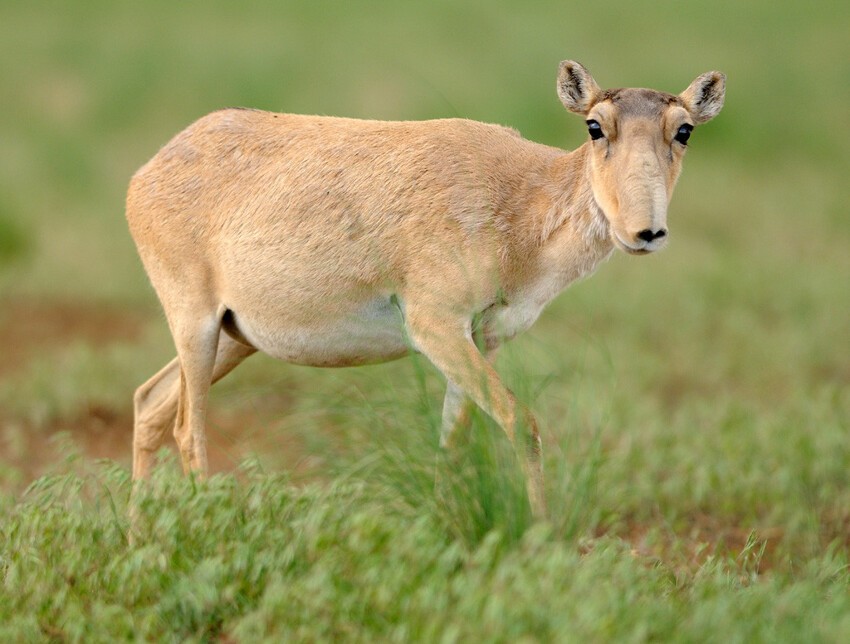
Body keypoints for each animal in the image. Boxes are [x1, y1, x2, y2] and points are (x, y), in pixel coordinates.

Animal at [126, 59, 724, 512]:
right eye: (595, 126)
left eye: (684, 129)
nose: (645, 232)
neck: (520, 201)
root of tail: (146, 173)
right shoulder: (435, 326)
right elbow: (522, 423)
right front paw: (542, 535)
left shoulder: (481, 339)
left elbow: (454, 440)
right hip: (196, 323)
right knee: (186, 427)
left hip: (237, 338)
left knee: (150, 402)